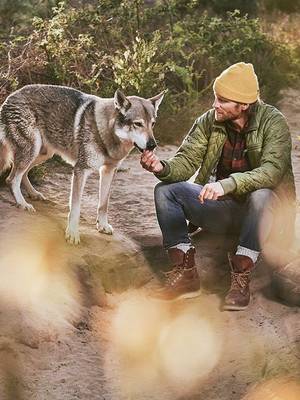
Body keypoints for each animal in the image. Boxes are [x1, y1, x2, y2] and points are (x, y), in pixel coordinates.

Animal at [0, 84, 164, 244]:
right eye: (138, 124)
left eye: (153, 124)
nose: (152, 145)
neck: (106, 134)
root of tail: (9, 98)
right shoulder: (81, 169)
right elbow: (75, 207)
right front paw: (72, 234)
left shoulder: (109, 171)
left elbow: (103, 204)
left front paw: (102, 225)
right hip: (32, 151)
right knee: (11, 178)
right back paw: (23, 204)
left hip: (42, 154)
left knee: (22, 174)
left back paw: (34, 194)